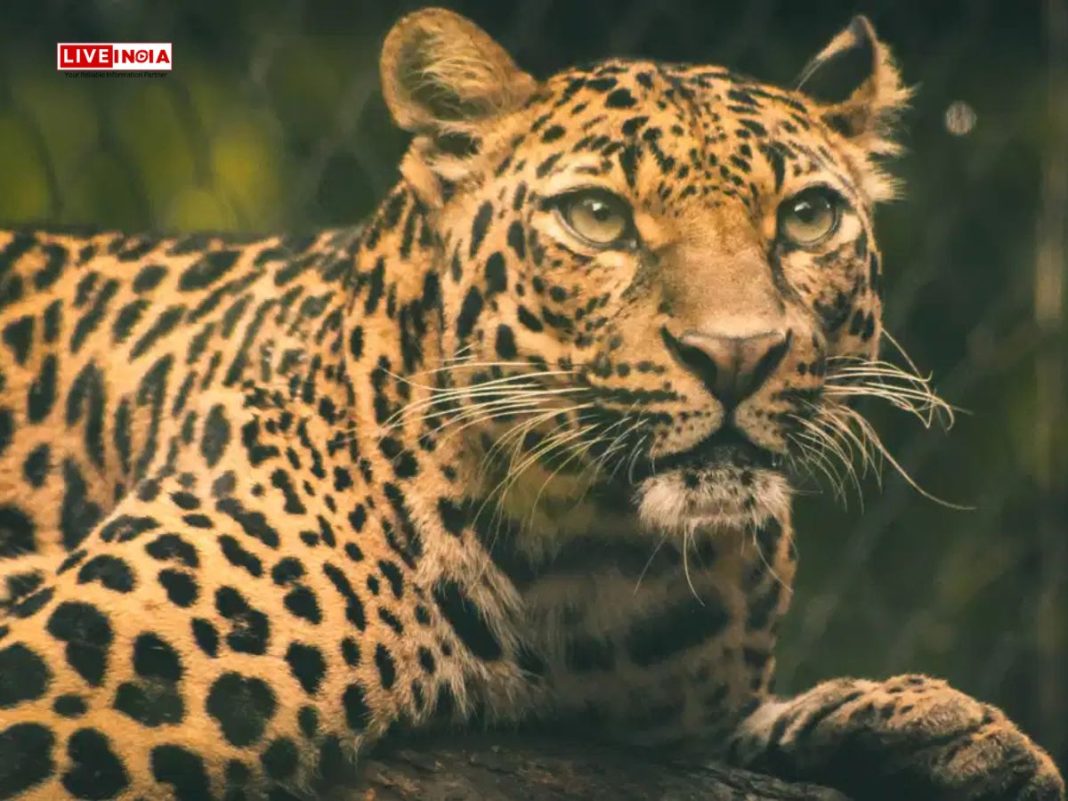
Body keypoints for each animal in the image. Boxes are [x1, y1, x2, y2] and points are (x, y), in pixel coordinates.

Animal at [0, 7, 1063, 801]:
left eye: (807, 217)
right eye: (597, 217)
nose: (737, 354)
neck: (594, 567)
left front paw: (926, 728)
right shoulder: (54, 688)